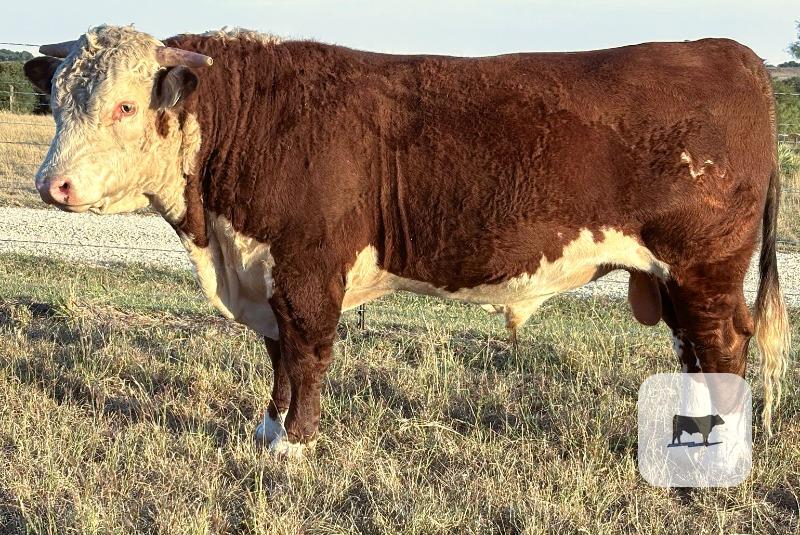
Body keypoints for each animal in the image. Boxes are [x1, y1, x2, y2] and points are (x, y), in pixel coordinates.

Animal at [23, 25, 790, 458]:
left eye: (125, 105)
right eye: (57, 101)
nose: (50, 184)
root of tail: (733, 55)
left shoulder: (307, 268)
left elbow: (307, 354)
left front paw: (294, 447)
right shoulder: (264, 268)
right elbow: (277, 355)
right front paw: (268, 430)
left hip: (705, 264)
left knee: (722, 343)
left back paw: (716, 449)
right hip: (676, 276)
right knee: (694, 349)